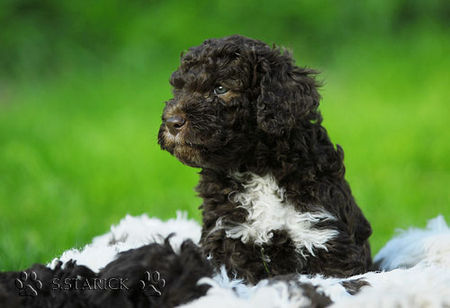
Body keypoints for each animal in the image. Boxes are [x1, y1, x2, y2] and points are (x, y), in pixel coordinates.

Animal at [158, 34, 372, 284]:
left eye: (220, 88)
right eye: (179, 89)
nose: (172, 122)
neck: (258, 167)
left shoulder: (323, 233)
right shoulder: (228, 235)